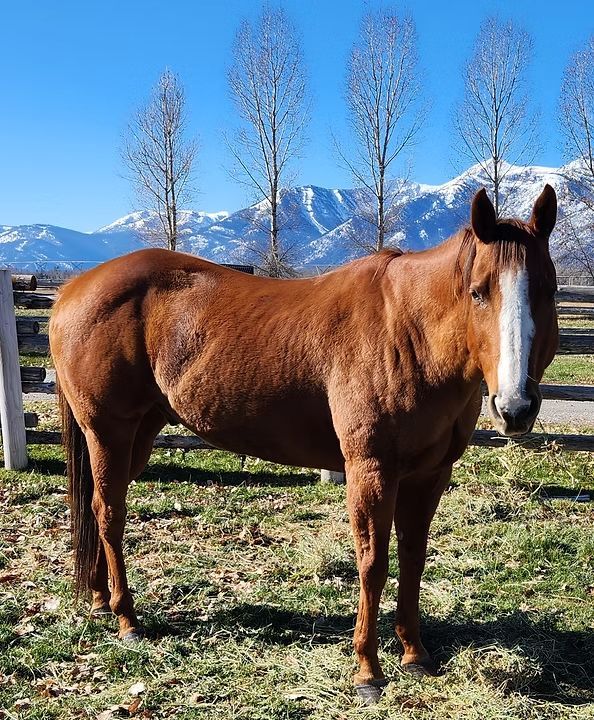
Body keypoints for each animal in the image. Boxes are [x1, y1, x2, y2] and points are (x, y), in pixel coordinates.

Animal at [49, 185, 559, 704]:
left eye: (548, 290)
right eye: (478, 291)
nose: (515, 406)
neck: (409, 334)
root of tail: (73, 289)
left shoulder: (428, 475)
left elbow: (413, 558)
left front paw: (415, 654)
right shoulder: (370, 470)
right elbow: (373, 564)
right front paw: (368, 671)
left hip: (138, 435)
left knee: (94, 506)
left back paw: (100, 600)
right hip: (109, 432)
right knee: (109, 514)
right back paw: (128, 619)